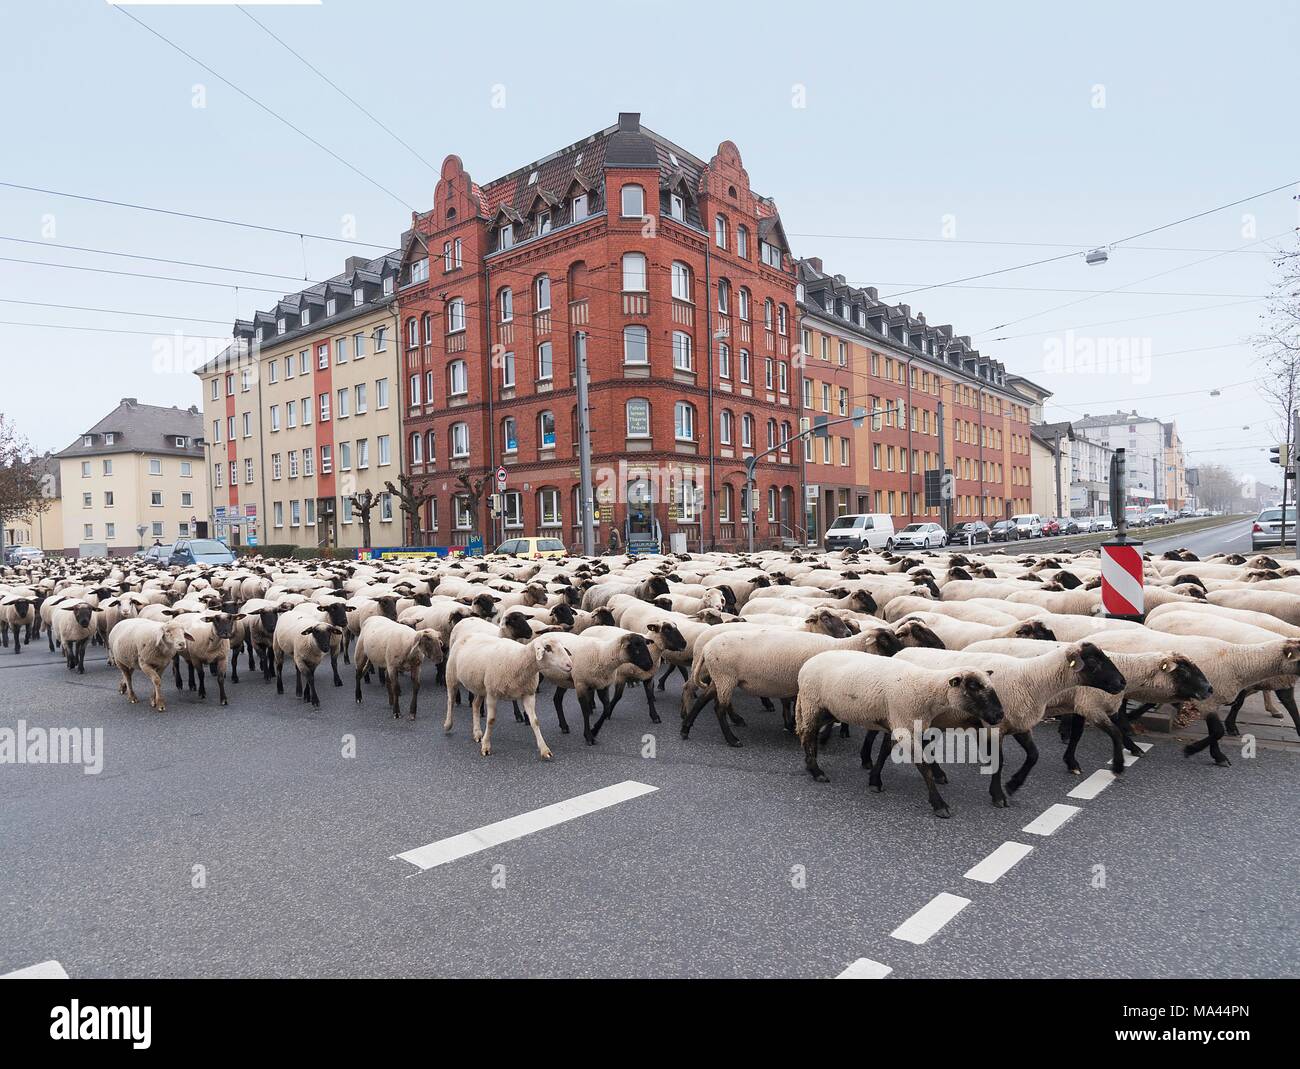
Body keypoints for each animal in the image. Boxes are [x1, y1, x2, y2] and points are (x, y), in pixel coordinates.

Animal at [441, 637, 574, 759]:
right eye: (548, 648)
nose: (570, 665)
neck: (519, 659)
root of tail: (467, 635)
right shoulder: (492, 694)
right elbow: (491, 720)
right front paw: (486, 746)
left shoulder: (529, 694)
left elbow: (535, 721)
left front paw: (544, 749)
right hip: (451, 676)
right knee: (450, 701)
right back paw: (448, 725)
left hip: (480, 687)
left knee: (475, 705)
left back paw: (477, 733)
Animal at [790, 652, 1003, 821]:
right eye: (973, 686)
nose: (1000, 715)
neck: (925, 690)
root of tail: (807, 664)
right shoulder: (903, 726)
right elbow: (923, 767)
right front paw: (939, 804)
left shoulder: (897, 724)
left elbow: (884, 752)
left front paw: (874, 780)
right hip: (812, 703)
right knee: (807, 734)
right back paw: (816, 771)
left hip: (825, 708)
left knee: (808, 734)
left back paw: (810, 765)